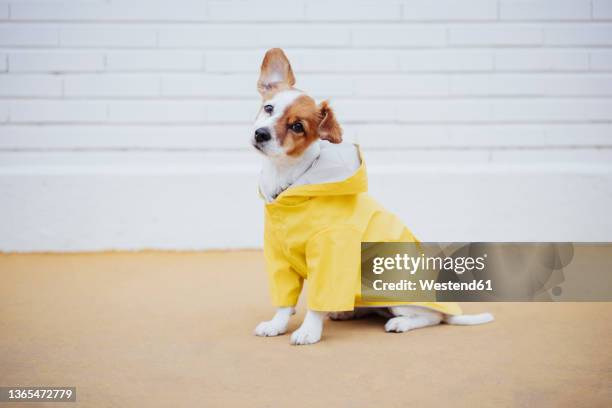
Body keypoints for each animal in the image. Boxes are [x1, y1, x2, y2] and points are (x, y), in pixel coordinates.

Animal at [249, 49, 492, 346]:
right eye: (269, 108)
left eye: (297, 126)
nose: (261, 134)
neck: (289, 181)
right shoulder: (278, 257)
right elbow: (284, 303)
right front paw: (276, 324)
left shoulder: (330, 254)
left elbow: (318, 302)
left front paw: (308, 331)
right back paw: (348, 312)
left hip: (396, 293)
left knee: (432, 318)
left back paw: (400, 322)